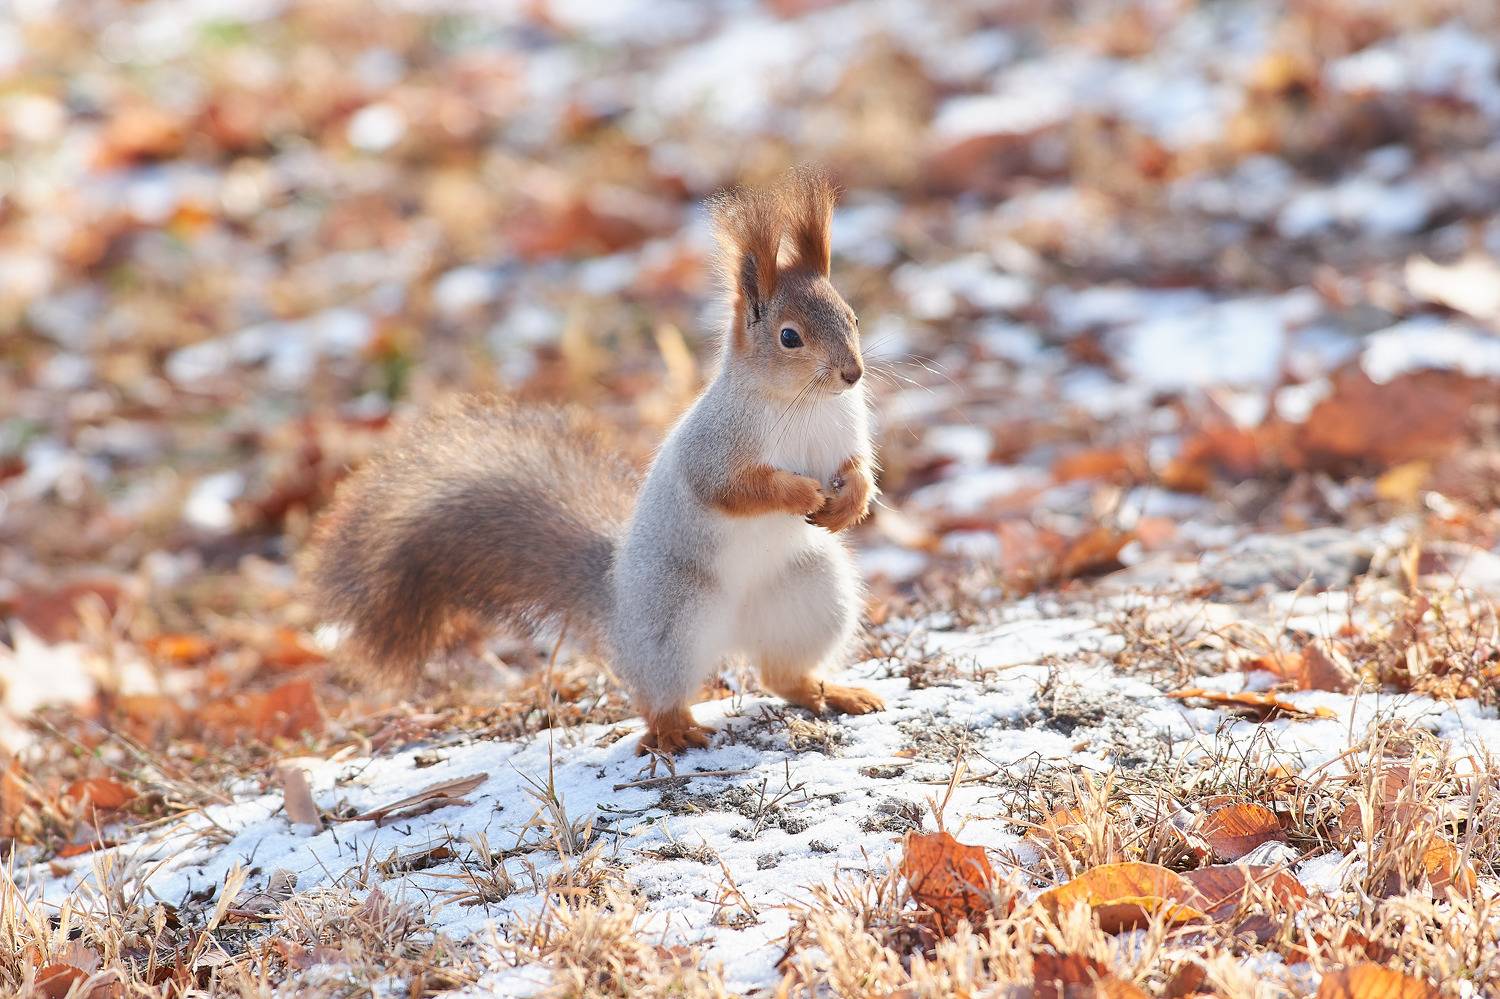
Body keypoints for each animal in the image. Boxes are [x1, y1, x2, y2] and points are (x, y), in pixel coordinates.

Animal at [304, 167, 884, 754]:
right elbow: (733, 489)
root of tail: (618, 606)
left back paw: (833, 692)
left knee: (779, 674)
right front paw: (801, 493)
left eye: (854, 316)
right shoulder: (716, 446)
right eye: (790, 337)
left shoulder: (847, 431)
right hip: (675, 621)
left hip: (812, 597)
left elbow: (859, 467)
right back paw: (674, 729)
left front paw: (849, 502)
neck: (803, 404)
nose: (852, 374)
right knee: (658, 694)